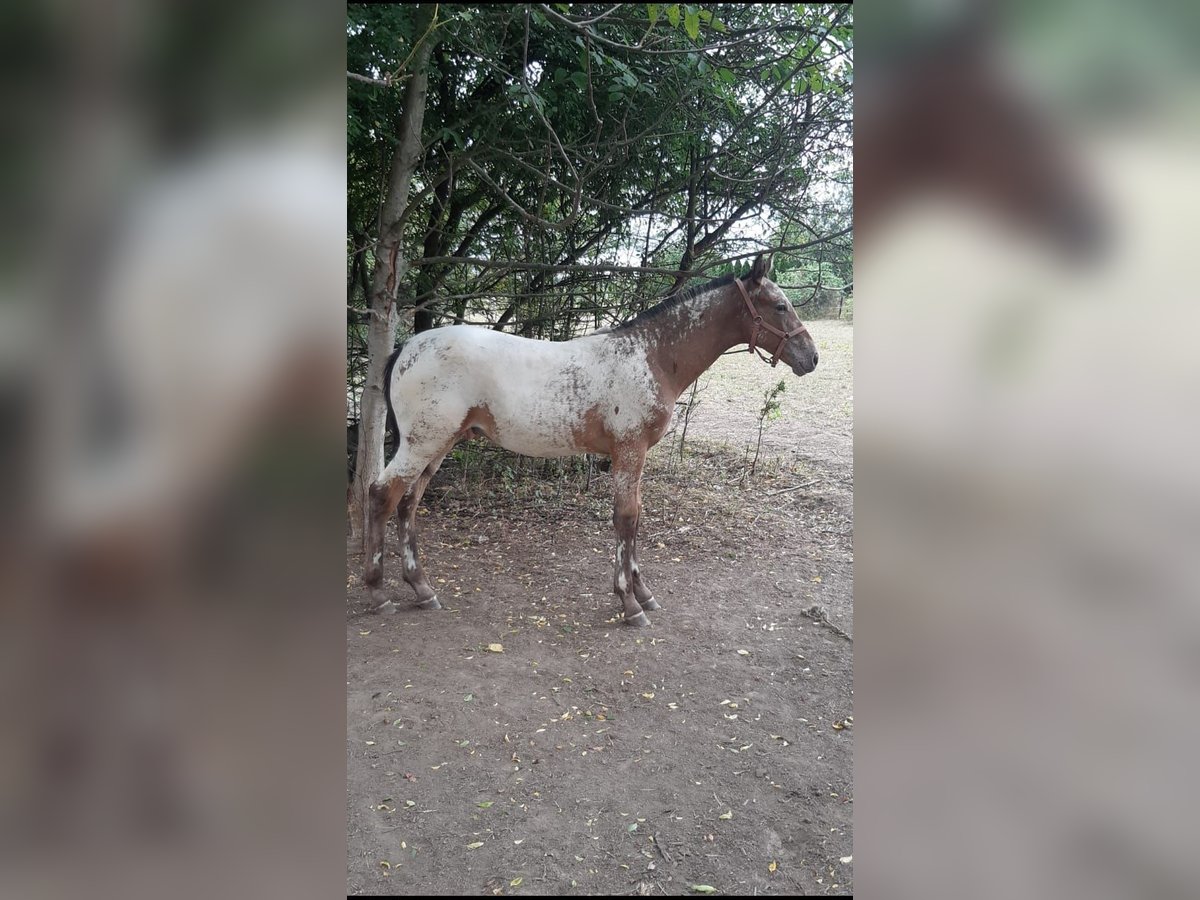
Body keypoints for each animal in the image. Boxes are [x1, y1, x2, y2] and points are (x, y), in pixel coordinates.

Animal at [360, 252, 820, 628]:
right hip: (422, 443)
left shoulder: (634, 455)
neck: (652, 356)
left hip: (438, 445)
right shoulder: (629, 451)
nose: (812, 357)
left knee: (408, 502)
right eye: (780, 306)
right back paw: (378, 594)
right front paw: (629, 604)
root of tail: (406, 348)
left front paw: (643, 593)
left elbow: (636, 515)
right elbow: (626, 518)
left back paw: (422, 589)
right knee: (382, 494)